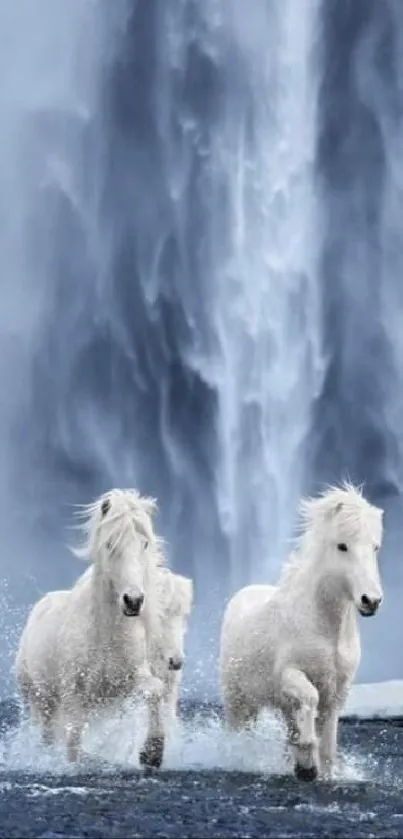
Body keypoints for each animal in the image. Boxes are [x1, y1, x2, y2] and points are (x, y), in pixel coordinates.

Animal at [15, 486, 174, 768]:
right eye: (110, 543)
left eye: (144, 543)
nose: (133, 601)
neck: (105, 633)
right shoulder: (74, 693)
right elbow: (73, 743)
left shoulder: (127, 682)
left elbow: (154, 690)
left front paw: (152, 754)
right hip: (39, 699)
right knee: (47, 735)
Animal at [221, 482, 386, 784]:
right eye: (342, 546)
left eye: (375, 547)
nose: (371, 600)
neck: (325, 628)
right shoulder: (290, 674)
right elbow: (310, 698)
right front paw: (307, 760)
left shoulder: (338, 690)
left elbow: (329, 740)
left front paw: (317, 768)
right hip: (238, 700)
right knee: (241, 731)